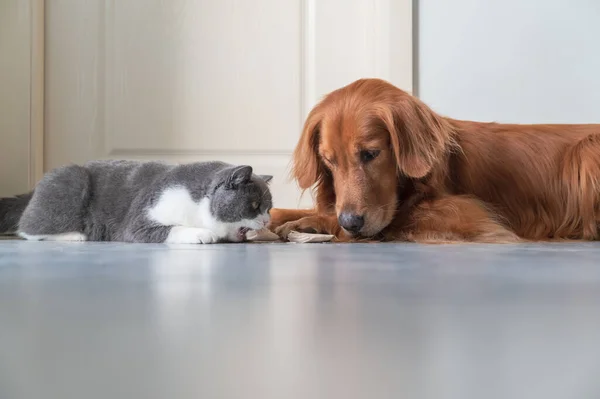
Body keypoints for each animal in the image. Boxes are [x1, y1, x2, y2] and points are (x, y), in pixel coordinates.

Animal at [0, 160, 274, 244]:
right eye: (254, 206)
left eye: (269, 208)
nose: (266, 220)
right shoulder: (139, 220)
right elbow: (170, 228)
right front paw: (202, 234)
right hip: (72, 180)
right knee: (28, 227)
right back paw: (74, 235)